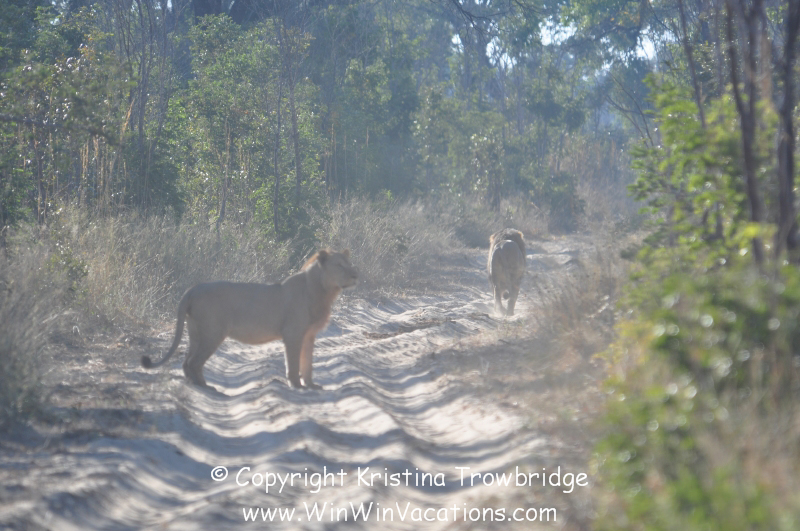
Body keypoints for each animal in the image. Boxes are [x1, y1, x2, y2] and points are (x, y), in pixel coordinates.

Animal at [141, 249, 357, 390]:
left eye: (350, 264)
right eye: (339, 265)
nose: (356, 275)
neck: (324, 291)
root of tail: (192, 289)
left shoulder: (309, 335)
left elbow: (308, 363)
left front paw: (312, 385)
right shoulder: (293, 334)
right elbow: (294, 363)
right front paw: (297, 385)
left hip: (195, 331)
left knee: (187, 361)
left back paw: (194, 384)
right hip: (212, 332)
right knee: (194, 362)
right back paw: (205, 387)